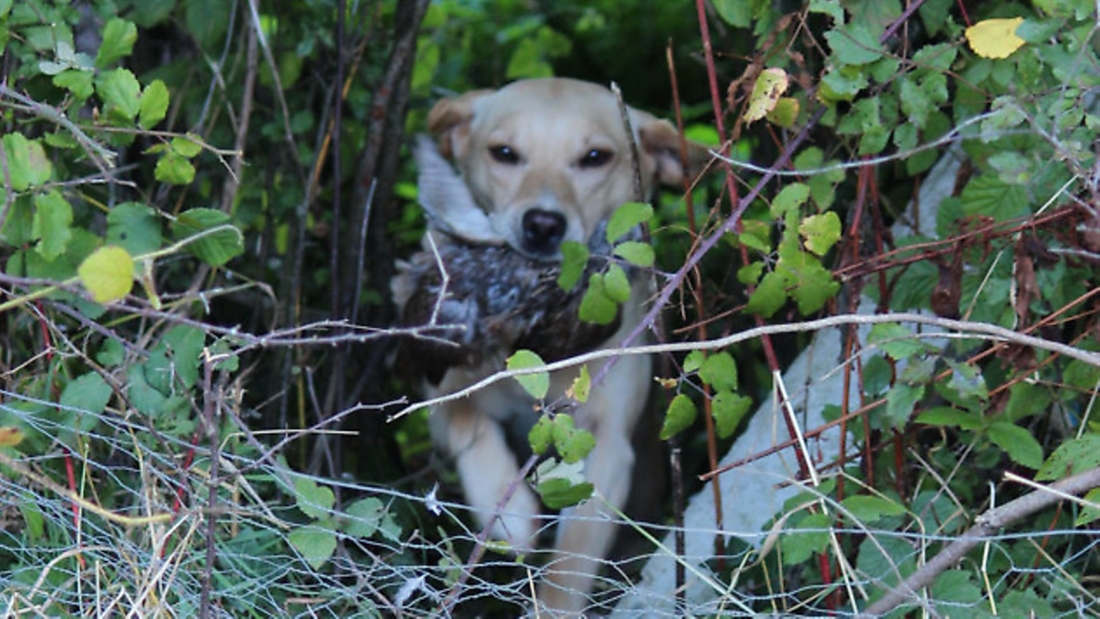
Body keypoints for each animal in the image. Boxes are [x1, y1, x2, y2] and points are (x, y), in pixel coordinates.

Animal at [402, 77, 704, 615]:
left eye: (595, 157)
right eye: (504, 153)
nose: (543, 224)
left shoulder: (609, 450)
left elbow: (569, 567)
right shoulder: (442, 394)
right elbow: (468, 424)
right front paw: (512, 513)